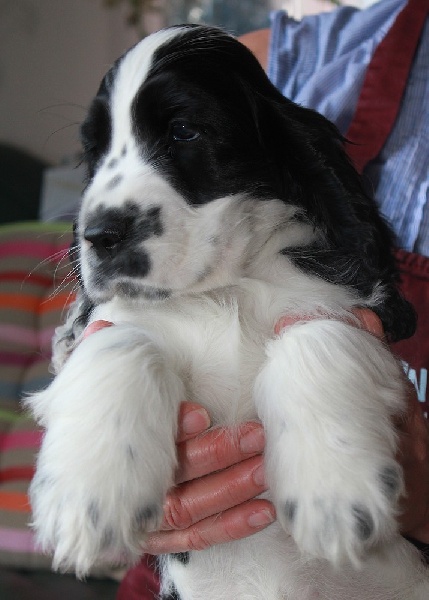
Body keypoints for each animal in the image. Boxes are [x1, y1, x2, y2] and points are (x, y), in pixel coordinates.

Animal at [26, 25, 429, 599]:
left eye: (184, 132)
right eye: (94, 153)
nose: (99, 235)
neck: (226, 290)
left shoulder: (338, 304)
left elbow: (314, 332)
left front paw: (335, 492)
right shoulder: (119, 319)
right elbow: (119, 338)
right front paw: (87, 499)